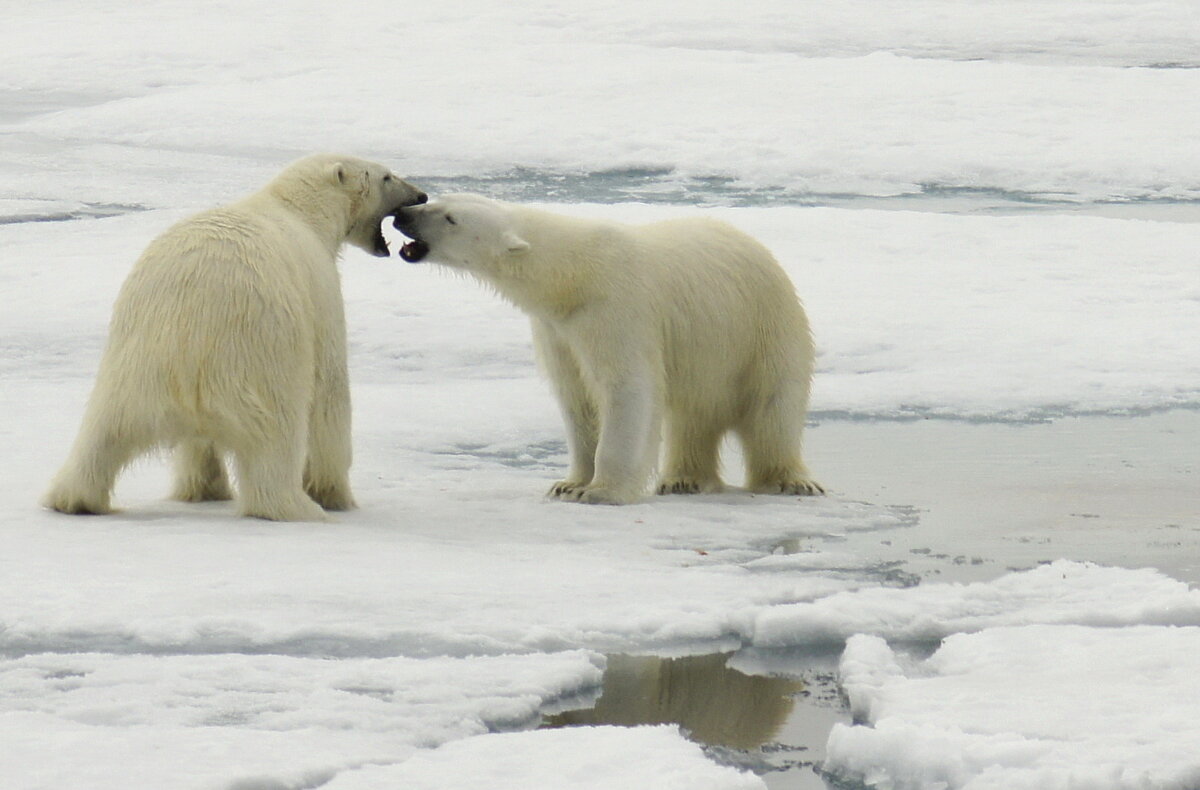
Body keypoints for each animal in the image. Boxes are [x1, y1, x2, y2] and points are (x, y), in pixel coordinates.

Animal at [44, 154, 429, 523]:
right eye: (386, 176)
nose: (421, 195)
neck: (301, 209)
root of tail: (191, 332)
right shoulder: (321, 295)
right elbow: (329, 394)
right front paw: (334, 495)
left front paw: (205, 489)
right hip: (260, 361)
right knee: (276, 442)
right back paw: (295, 506)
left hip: (134, 362)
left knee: (102, 433)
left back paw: (74, 498)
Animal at [393, 196, 825, 504]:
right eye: (438, 200)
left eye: (450, 217)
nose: (403, 213)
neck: (573, 275)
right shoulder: (557, 328)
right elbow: (576, 397)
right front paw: (568, 485)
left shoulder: (616, 309)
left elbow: (626, 388)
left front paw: (600, 491)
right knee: (692, 416)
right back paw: (683, 479)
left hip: (763, 328)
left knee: (773, 408)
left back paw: (790, 481)